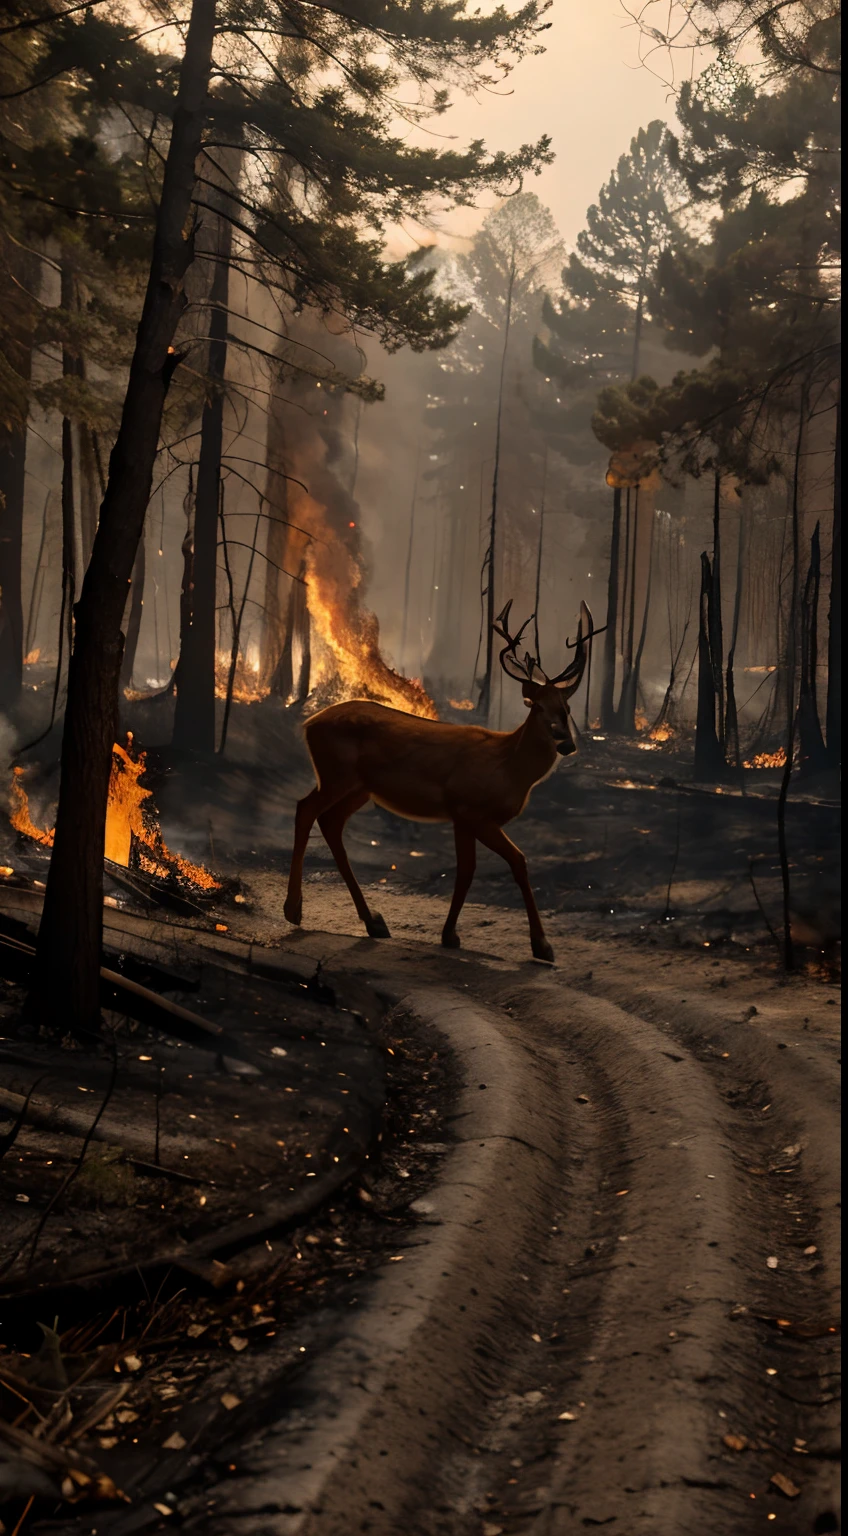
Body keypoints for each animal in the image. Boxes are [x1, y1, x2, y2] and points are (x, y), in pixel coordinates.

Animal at [284, 595, 596, 958]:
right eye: (537, 706)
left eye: (567, 709)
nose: (566, 743)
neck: (508, 767)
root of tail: (309, 724)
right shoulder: (469, 808)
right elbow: (513, 863)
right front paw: (541, 945)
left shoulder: (463, 817)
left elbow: (467, 871)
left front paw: (449, 935)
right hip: (336, 774)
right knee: (305, 808)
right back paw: (293, 909)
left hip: (359, 788)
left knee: (330, 823)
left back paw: (374, 921)